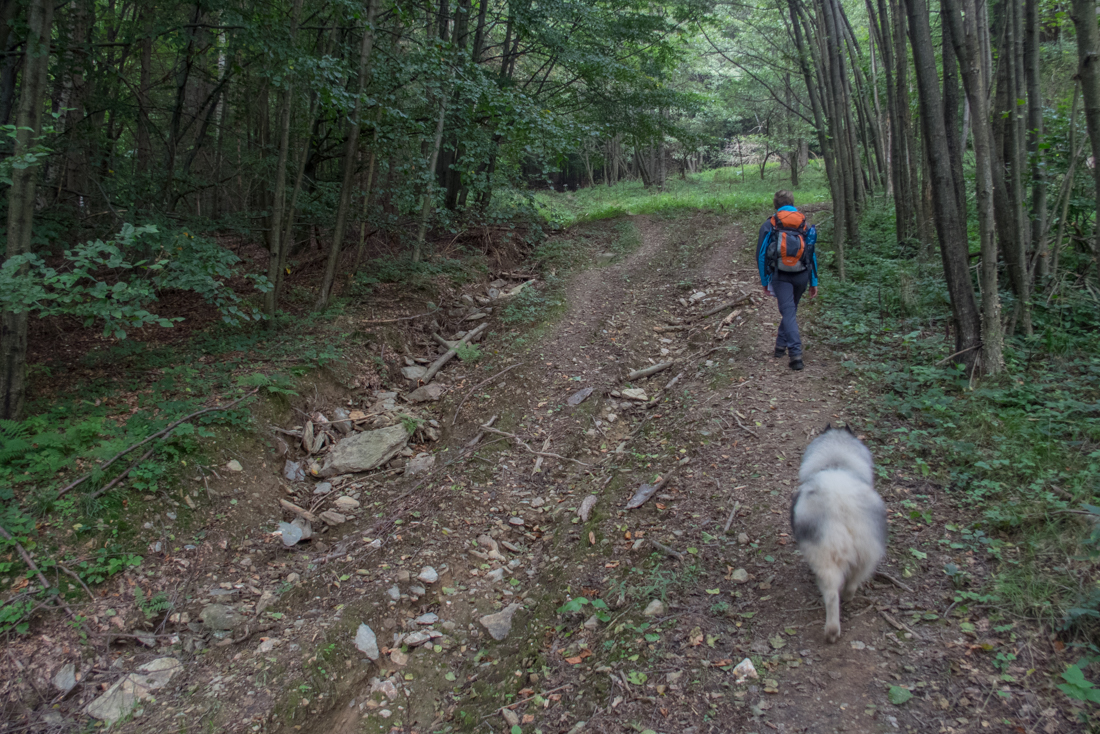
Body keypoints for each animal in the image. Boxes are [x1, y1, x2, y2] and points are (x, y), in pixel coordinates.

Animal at [792, 424, 884, 642]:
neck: (836, 462)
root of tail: (843, 503)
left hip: (826, 558)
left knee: (832, 595)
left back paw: (832, 631)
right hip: (867, 554)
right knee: (853, 582)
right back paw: (848, 598)